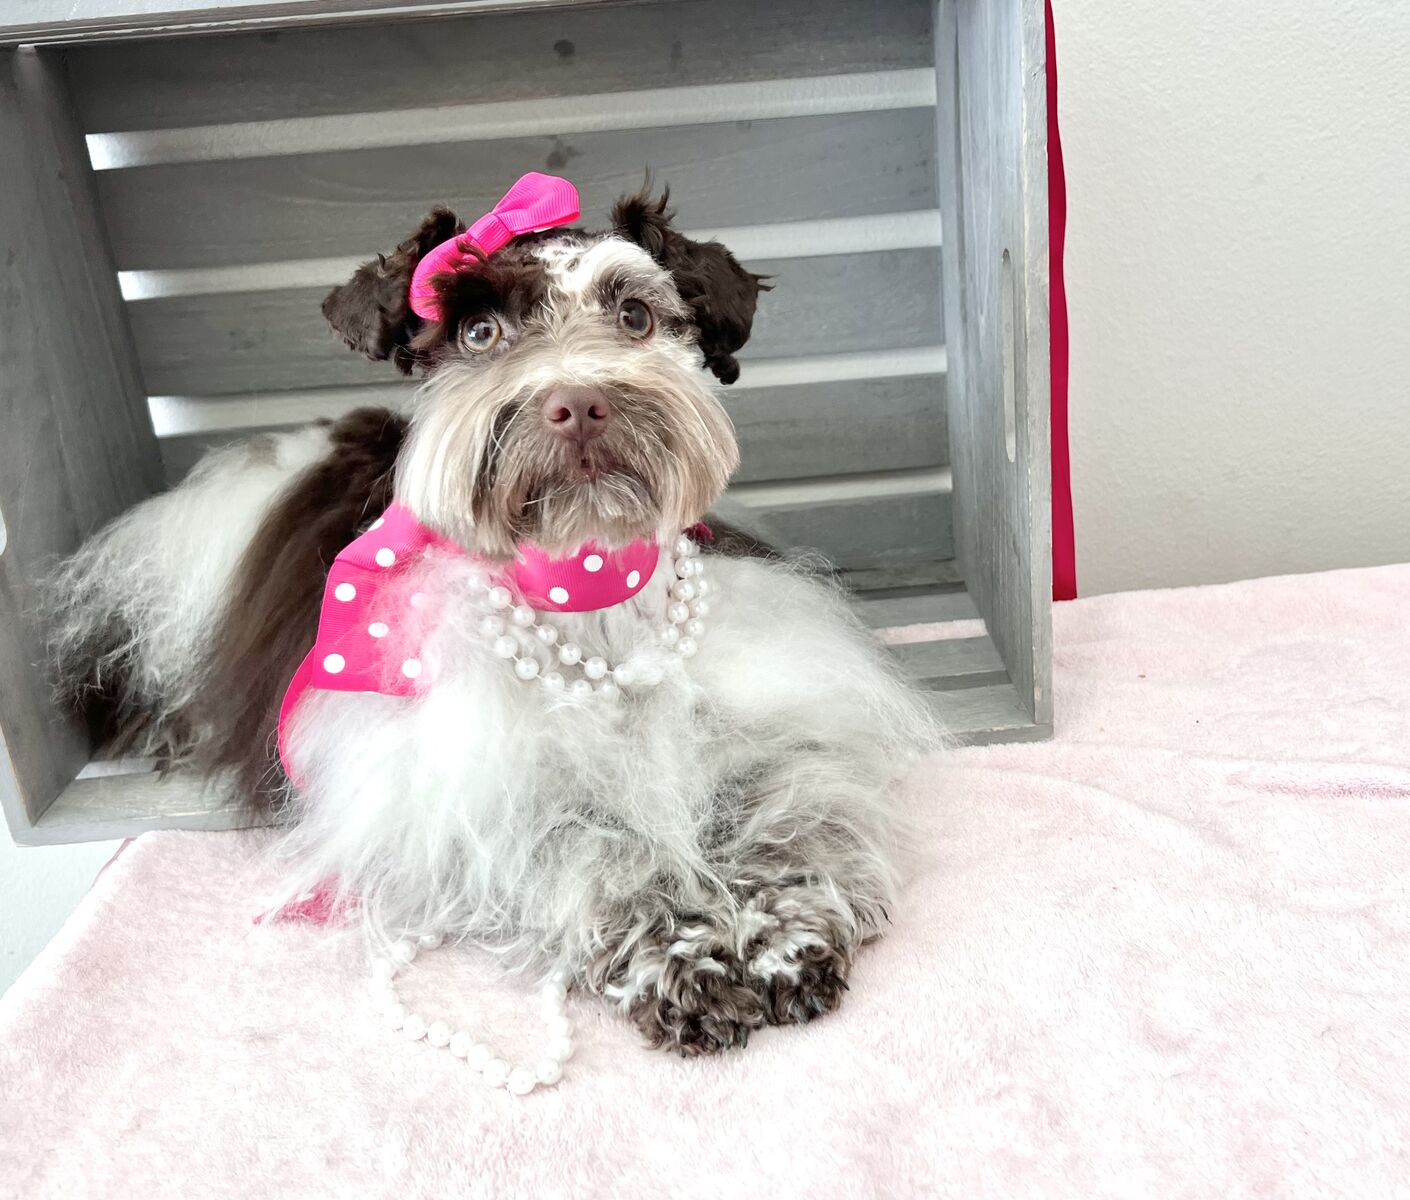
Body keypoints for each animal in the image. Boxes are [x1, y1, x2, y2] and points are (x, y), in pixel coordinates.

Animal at [50, 182, 940, 1056]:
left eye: (635, 315)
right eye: (479, 332)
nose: (578, 402)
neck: (590, 605)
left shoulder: (756, 740)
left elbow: (775, 815)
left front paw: (780, 936)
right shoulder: (489, 809)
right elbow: (603, 851)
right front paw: (686, 954)